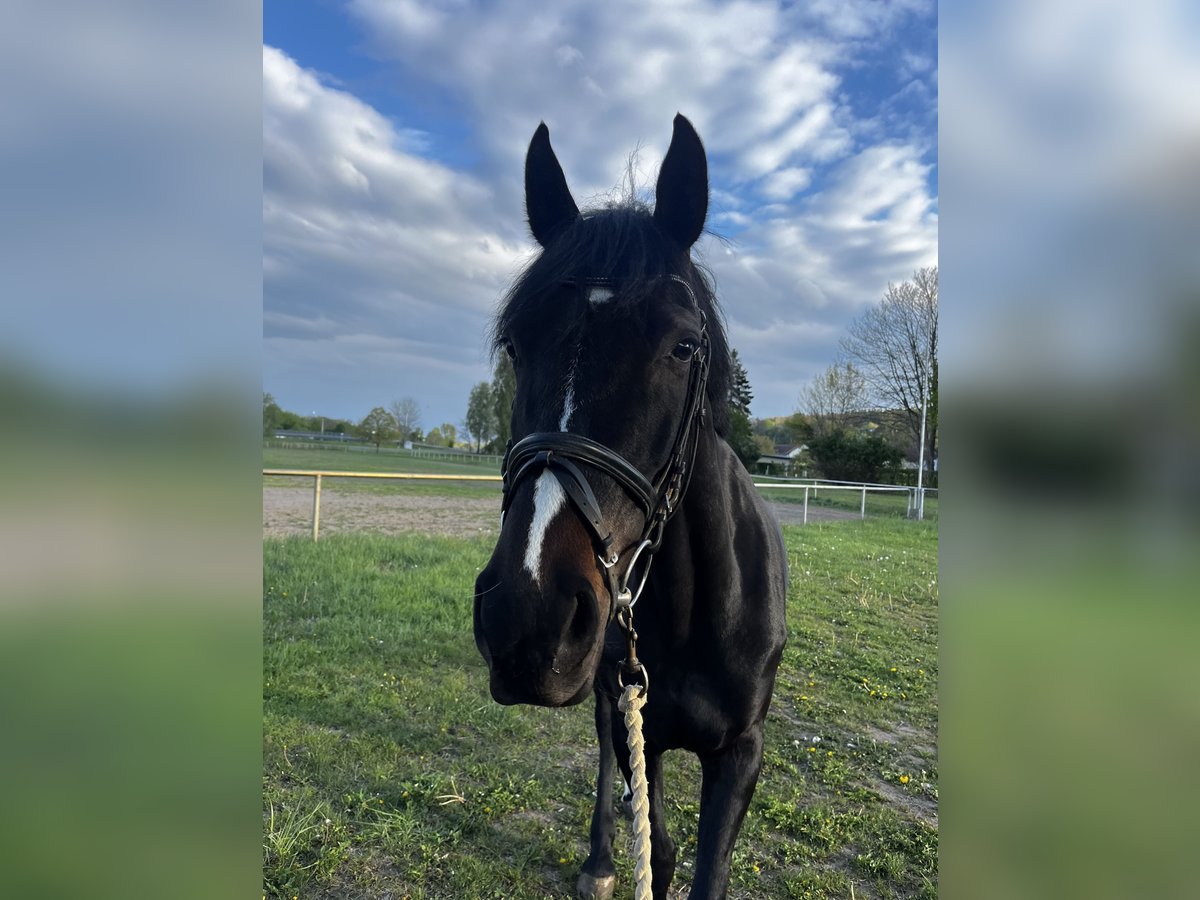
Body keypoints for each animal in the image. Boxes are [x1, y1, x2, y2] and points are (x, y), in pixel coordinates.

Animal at [472, 116, 792, 897]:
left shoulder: (741, 753)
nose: (527, 615)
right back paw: (599, 861)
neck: (695, 609)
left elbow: (707, 872)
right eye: (515, 343)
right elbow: (661, 843)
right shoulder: (629, 719)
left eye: (682, 345)